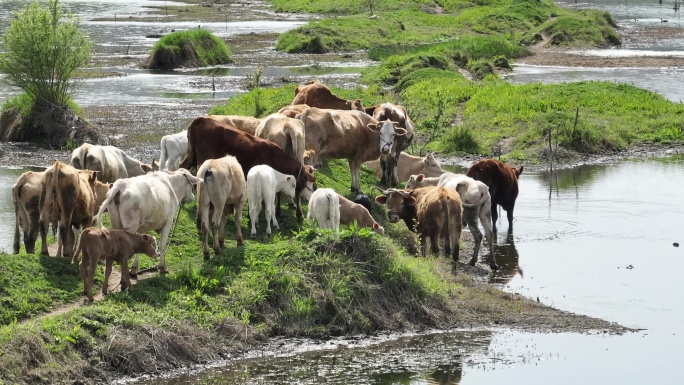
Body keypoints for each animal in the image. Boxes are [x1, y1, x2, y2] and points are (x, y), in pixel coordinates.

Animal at [176, 117, 316, 218]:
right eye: (302, 184)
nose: (300, 215)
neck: (274, 157)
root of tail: (202, 119)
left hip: (191, 154)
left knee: (182, 167)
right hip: (203, 159)